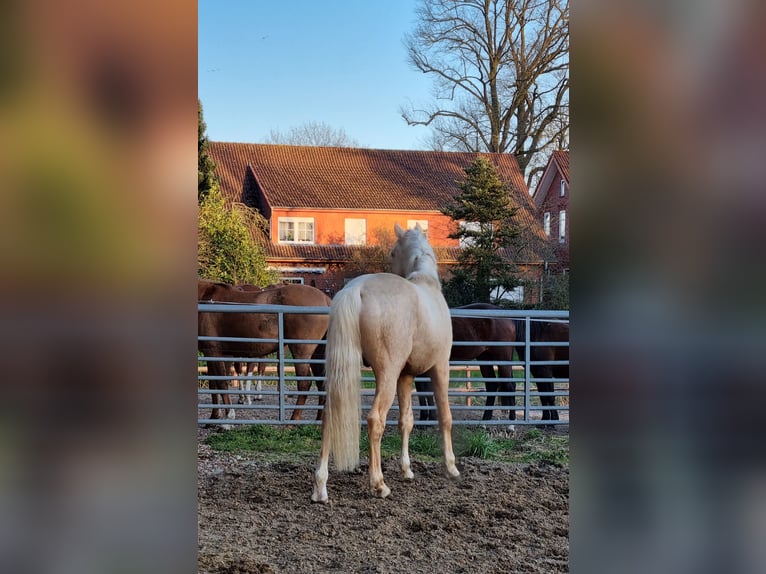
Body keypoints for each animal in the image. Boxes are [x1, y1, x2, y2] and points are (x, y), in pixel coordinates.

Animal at [196, 282, 332, 426]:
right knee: (321, 383)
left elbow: (221, 383)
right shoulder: (216, 353)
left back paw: (293, 420)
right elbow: (214, 384)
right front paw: (214, 417)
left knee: (305, 383)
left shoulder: (213, 351)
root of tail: (325, 299)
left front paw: (227, 420)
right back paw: (318, 420)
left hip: (301, 352)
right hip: (316, 354)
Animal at [312, 225, 462, 504]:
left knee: (330, 416)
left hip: (349, 376)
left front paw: (407, 470)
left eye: (393, 252)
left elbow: (407, 420)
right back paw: (379, 484)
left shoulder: (406, 376)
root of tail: (356, 288)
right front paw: (451, 467)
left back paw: (320, 488)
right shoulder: (440, 368)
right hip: (387, 375)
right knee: (375, 420)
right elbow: (445, 417)